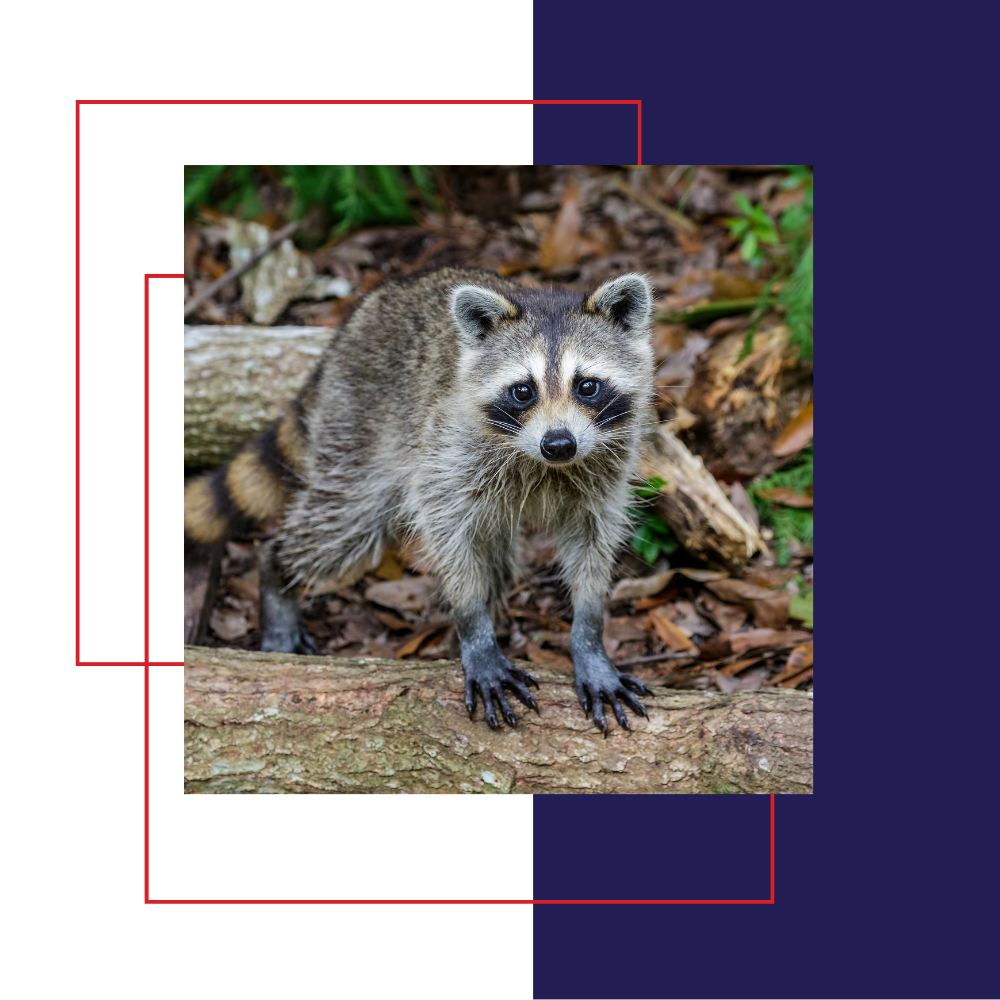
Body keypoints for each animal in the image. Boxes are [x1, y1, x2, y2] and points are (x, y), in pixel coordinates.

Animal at [185, 267, 657, 734]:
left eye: (587, 386)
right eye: (523, 391)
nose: (558, 444)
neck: (546, 464)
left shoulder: (603, 474)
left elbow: (593, 546)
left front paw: (589, 637)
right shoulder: (448, 452)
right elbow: (448, 537)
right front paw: (475, 631)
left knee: (496, 561)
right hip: (359, 429)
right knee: (340, 526)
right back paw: (277, 574)